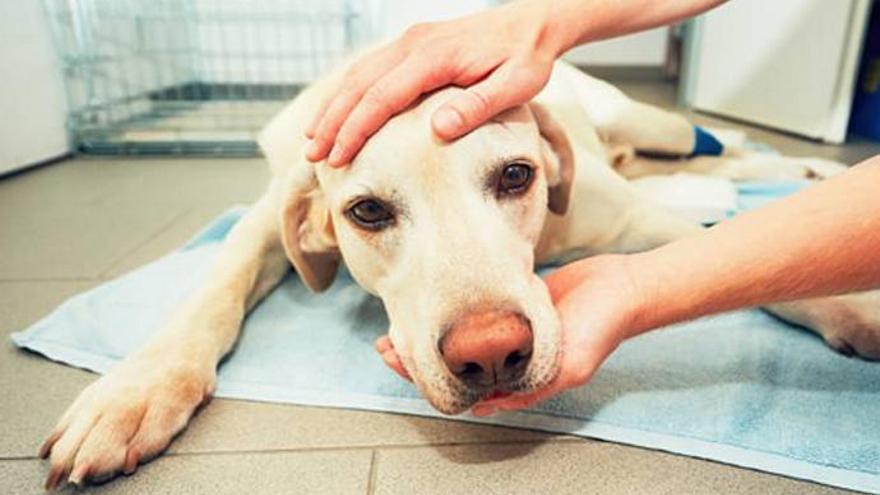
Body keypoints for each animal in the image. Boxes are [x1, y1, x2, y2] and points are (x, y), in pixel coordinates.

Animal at [41, 61, 880, 488]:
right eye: (367, 211)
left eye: (515, 175)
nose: (491, 353)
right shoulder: (268, 211)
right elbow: (214, 285)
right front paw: (134, 391)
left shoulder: (638, 221)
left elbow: (754, 248)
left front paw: (854, 304)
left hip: (650, 122)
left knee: (719, 146)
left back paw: (804, 165)